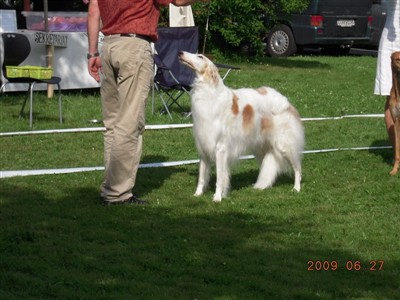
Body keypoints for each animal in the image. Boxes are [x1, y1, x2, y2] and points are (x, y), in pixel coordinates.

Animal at [180, 51, 304, 203]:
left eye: (200, 56)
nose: (180, 53)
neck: (208, 93)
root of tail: (286, 102)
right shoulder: (203, 147)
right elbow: (202, 177)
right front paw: (197, 194)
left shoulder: (220, 148)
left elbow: (220, 178)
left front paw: (217, 197)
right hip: (261, 148)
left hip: (284, 145)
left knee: (298, 168)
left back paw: (296, 188)